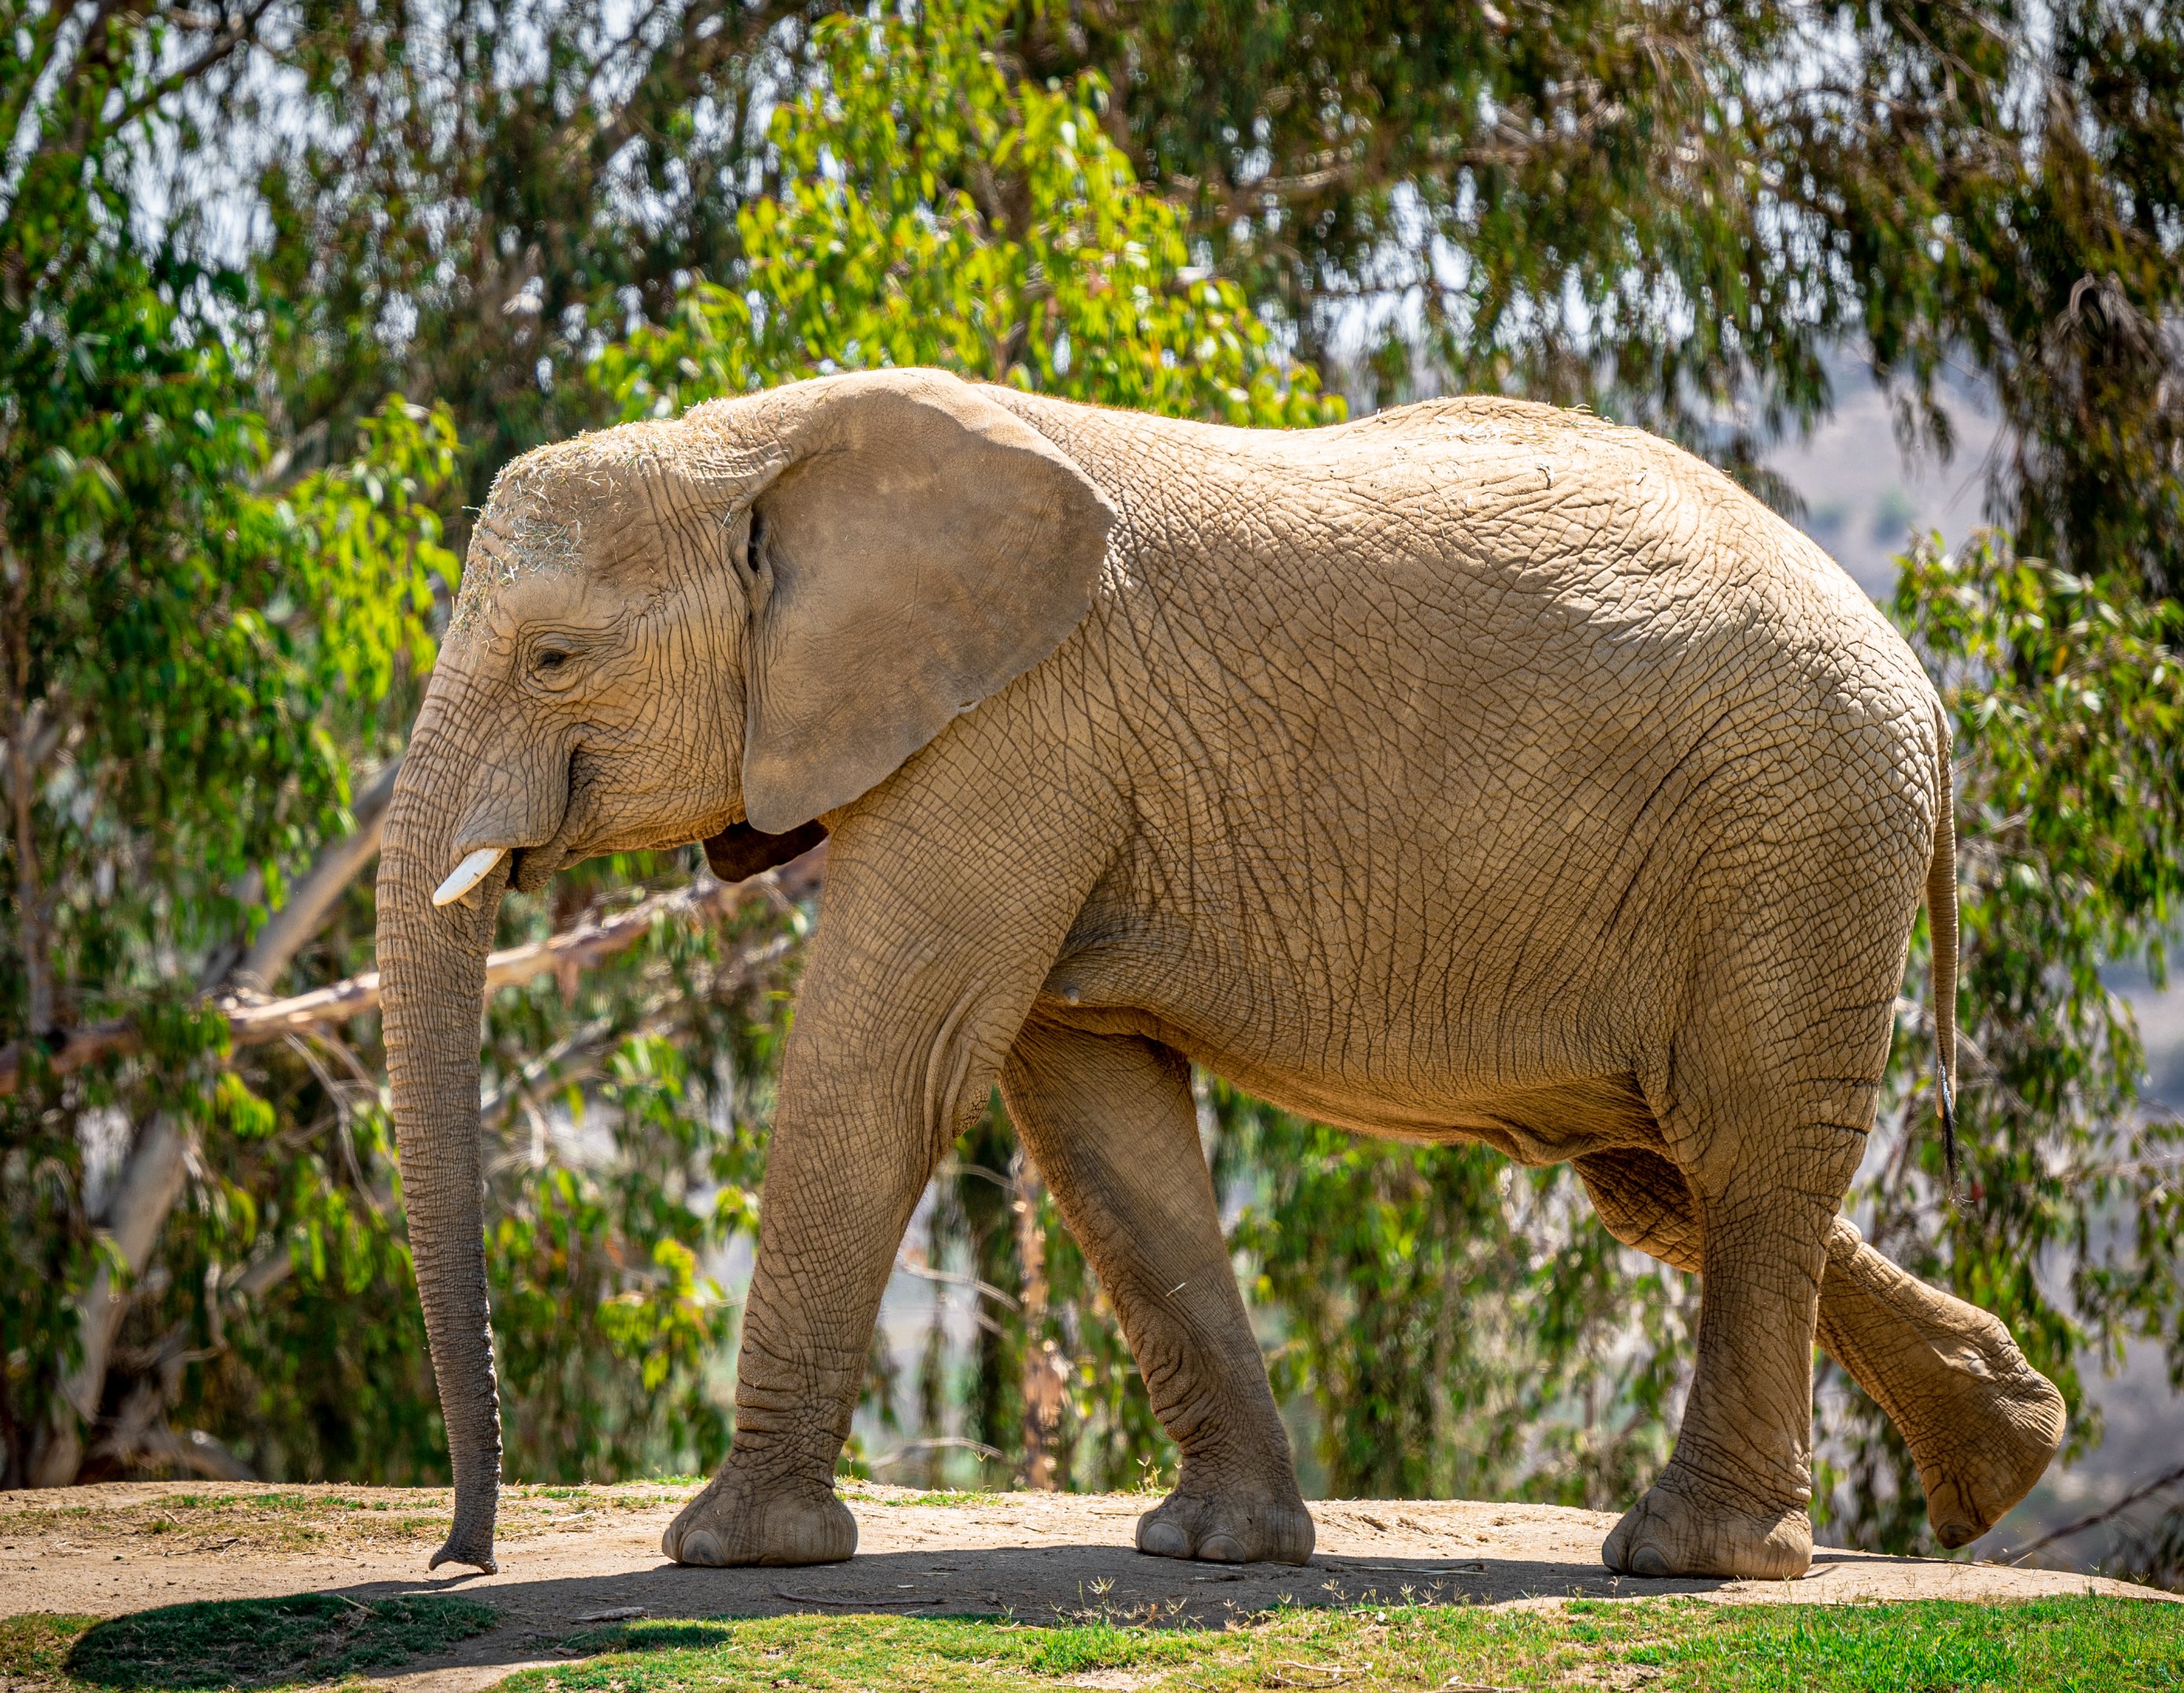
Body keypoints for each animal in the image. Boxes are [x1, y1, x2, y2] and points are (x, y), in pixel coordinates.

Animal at [376, 367, 2066, 1584]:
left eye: (552, 659)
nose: (459, 1561)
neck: (760, 440)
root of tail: (1924, 683)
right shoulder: (1049, 759)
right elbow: (1089, 1108)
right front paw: (1213, 1551)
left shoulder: (1016, 729)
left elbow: (891, 1056)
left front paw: (731, 1555)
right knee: (1664, 1178)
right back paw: (2005, 1459)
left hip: (1795, 839)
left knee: (1746, 1153)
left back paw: (1690, 1561)